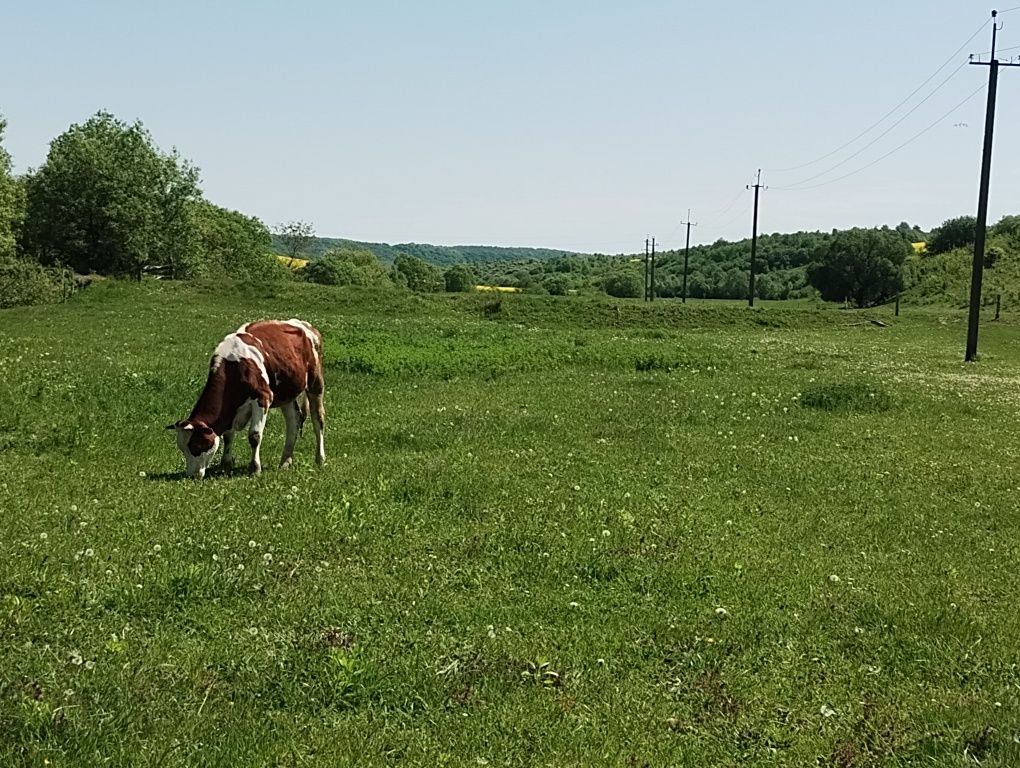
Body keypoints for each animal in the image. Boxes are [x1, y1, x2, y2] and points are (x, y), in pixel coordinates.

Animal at [168, 316, 326, 473]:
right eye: (182, 449)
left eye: (197, 446)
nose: (192, 475)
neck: (233, 368)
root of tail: (304, 325)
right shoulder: (231, 410)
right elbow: (228, 435)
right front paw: (226, 463)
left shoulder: (262, 398)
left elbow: (254, 436)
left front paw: (255, 468)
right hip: (286, 392)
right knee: (294, 420)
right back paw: (285, 461)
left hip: (315, 383)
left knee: (318, 419)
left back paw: (320, 459)